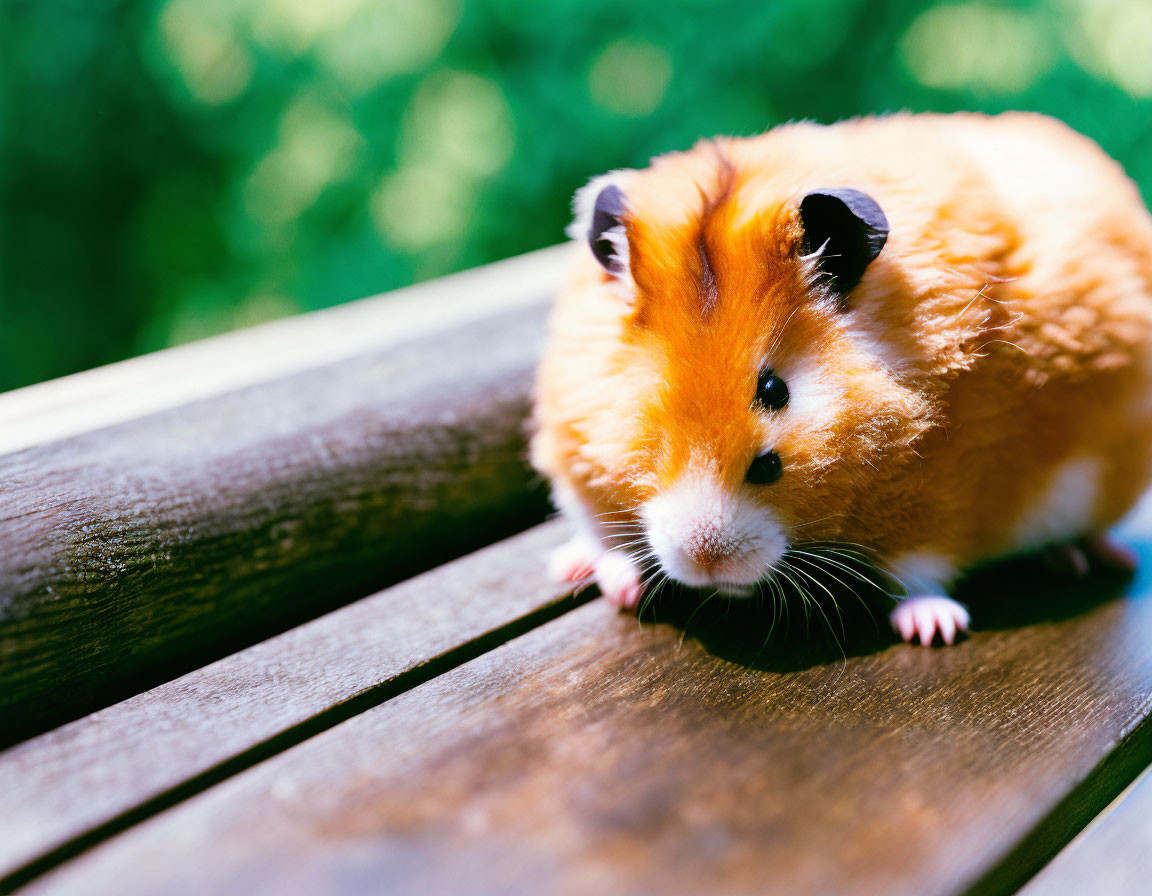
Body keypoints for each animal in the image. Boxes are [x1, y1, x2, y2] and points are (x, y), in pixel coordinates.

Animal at [527, 111, 1152, 640]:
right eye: (650, 393)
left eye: (774, 389)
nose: (706, 561)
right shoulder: (572, 455)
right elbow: (600, 531)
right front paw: (619, 588)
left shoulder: (945, 488)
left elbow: (920, 570)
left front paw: (934, 630)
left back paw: (1085, 558)